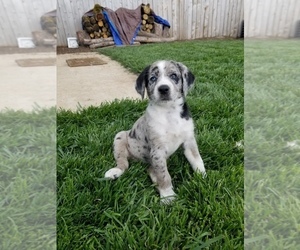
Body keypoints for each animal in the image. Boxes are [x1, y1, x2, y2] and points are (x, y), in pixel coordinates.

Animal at [104, 60, 205, 203]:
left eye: (174, 76)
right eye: (153, 78)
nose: (163, 88)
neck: (169, 112)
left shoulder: (189, 141)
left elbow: (197, 161)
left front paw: (204, 179)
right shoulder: (158, 151)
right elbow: (164, 175)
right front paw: (167, 196)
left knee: (151, 170)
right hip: (120, 138)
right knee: (123, 163)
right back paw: (114, 172)